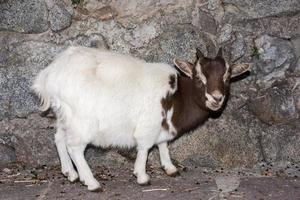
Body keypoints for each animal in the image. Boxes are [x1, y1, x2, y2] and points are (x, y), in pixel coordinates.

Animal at [31, 46, 250, 191]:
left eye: (227, 77)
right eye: (199, 77)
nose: (216, 98)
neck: (177, 95)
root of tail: (50, 76)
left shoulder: (162, 126)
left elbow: (162, 144)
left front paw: (170, 168)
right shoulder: (149, 125)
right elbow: (145, 147)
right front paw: (142, 176)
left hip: (65, 116)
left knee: (59, 139)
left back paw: (71, 173)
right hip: (82, 121)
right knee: (74, 147)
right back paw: (91, 182)